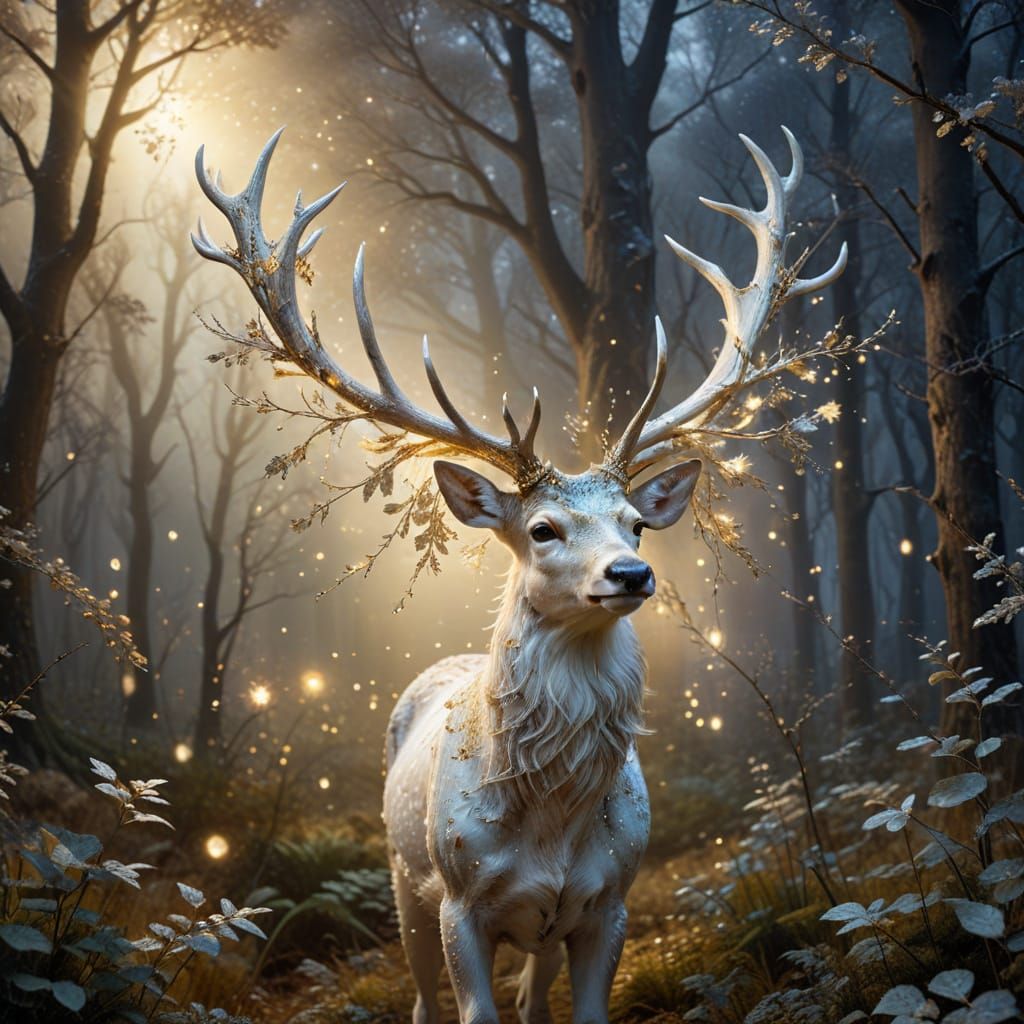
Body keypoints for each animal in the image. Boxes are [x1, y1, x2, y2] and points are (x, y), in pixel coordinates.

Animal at [192, 124, 845, 1024]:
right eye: (542, 529)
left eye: (636, 521)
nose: (631, 573)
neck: (551, 829)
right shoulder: (462, 903)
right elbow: (473, 1011)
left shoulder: (610, 902)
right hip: (405, 882)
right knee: (424, 999)